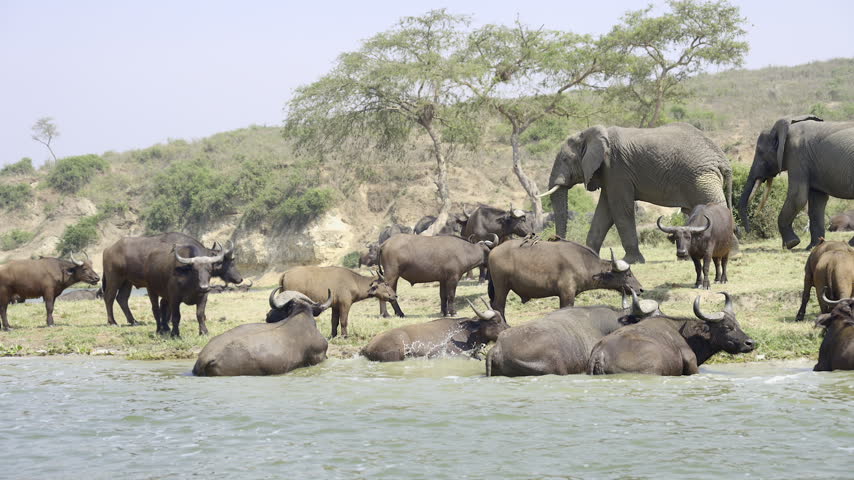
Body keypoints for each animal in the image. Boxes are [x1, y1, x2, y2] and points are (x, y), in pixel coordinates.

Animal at [488, 238, 642, 318]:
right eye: (628, 274)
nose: (641, 289)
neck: (583, 262)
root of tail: (493, 251)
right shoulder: (567, 294)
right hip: (502, 287)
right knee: (498, 306)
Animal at [542, 123, 732, 264]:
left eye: (565, 159)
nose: (554, 242)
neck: (589, 134)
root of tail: (722, 159)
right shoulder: (609, 175)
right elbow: (604, 212)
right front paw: (589, 255)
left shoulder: (617, 169)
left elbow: (620, 210)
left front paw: (631, 261)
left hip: (702, 178)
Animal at [738, 115, 854, 250]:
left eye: (760, 152)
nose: (747, 231)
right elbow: (817, 201)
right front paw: (812, 247)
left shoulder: (796, 154)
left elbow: (797, 197)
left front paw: (791, 243)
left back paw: (850, 244)